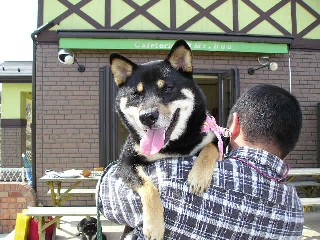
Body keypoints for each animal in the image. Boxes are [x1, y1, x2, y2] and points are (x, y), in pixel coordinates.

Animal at [110, 39, 225, 240]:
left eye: (168, 88)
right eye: (136, 94)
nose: (147, 116)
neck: (174, 145)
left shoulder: (219, 137)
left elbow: (210, 148)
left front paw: (198, 176)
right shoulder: (125, 162)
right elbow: (148, 187)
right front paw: (154, 226)